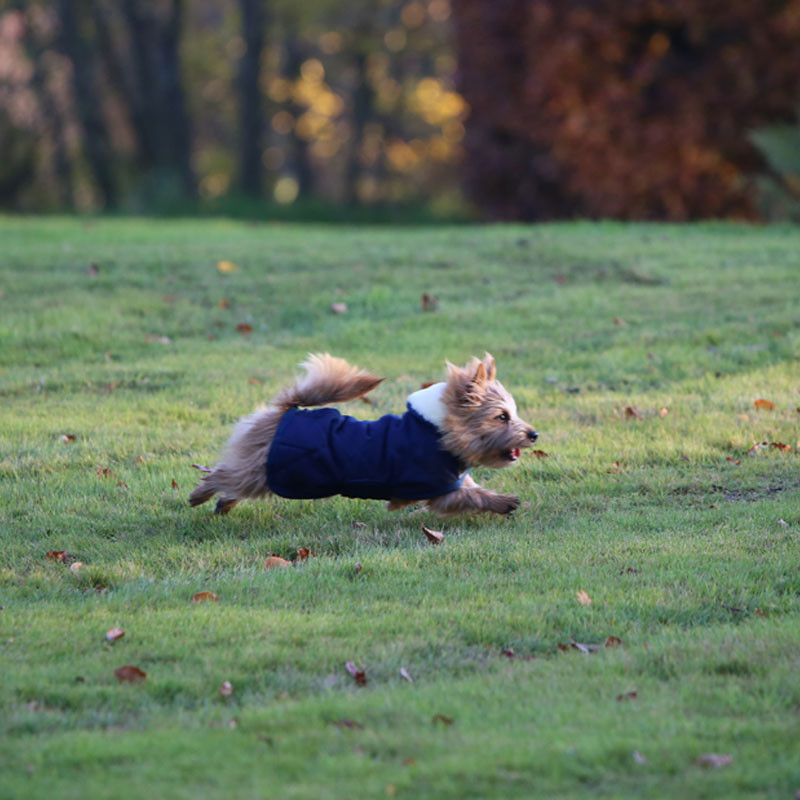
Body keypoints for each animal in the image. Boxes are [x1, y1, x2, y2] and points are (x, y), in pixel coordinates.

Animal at [189, 354, 536, 516]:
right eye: (502, 417)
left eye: (514, 413)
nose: (534, 434)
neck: (438, 430)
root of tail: (285, 409)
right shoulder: (436, 488)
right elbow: (469, 496)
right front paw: (503, 501)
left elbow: (472, 488)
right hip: (262, 471)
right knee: (223, 473)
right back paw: (200, 494)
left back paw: (223, 504)